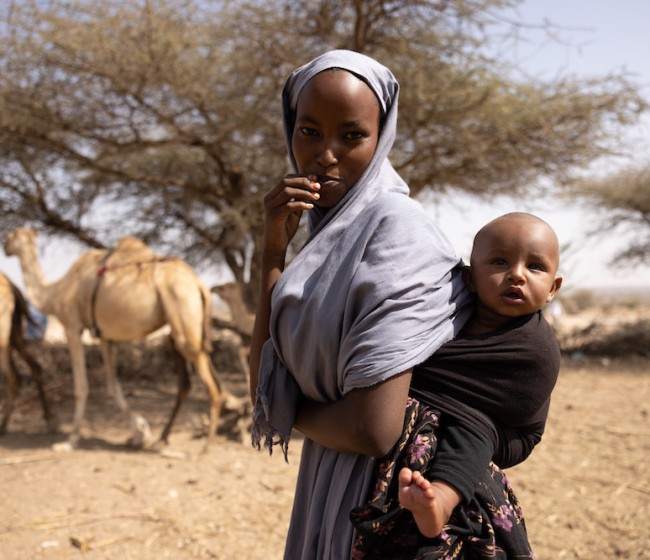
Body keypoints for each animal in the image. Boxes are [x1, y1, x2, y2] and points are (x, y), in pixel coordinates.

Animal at [0, 272, 55, 434]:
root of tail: (12, 286)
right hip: (14, 333)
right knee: (35, 366)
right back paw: (49, 420)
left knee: (14, 377)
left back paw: (3, 426)